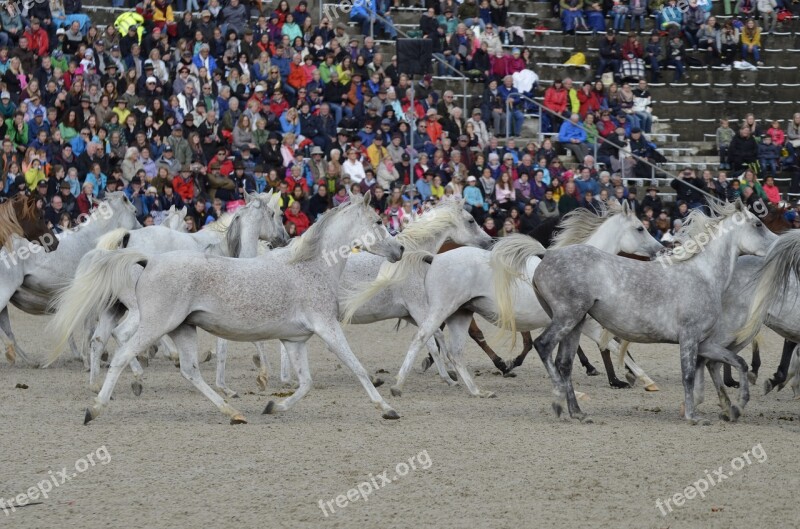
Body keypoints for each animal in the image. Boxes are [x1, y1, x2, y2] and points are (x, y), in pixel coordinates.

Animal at [0, 192, 139, 366]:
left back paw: (28, 360)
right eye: (135, 212)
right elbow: (88, 328)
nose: (140, 229)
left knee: (8, 331)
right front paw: (87, 360)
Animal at [47, 194, 404, 424]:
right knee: (122, 354)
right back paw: (96, 407)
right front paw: (387, 408)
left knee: (188, 370)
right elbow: (357, 368)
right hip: (155, 324)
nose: (400, 248)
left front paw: (273, 406)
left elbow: (305, 383)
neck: (312, 267)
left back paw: (233, 413)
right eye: (378, 220)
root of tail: (148, 260)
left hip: (182, 328)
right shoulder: (328, 328)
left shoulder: (295, 340)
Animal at [346, 201, 664, 396]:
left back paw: (474, 387)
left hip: (460, 313)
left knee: (453, 348)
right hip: (439, 310)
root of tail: (433, 257)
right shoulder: (582, 321)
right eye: (640, 227)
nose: (661, 249)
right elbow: (611, 344)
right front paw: (641, 379)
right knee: (424, 339)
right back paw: (401, 384)